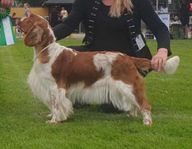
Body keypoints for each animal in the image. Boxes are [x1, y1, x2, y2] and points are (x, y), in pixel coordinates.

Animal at [18, 13, 180, 125]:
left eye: (28, 17)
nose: (17, 20)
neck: (47, 50)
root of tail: (128, 58)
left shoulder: (55, 87)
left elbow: (57, 104)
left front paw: (54, 121)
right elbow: (53, 105)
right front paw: (53, 117)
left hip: (128, 85)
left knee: (145, 104)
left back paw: (147, 122)